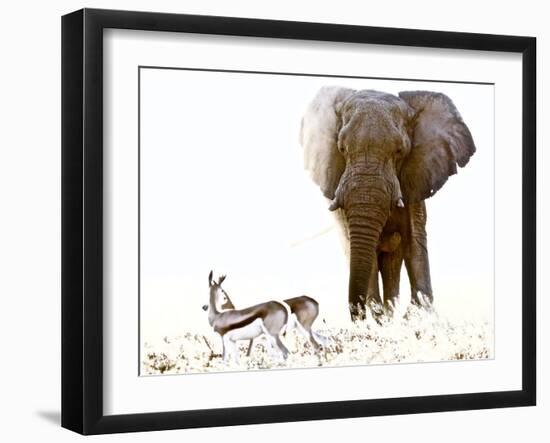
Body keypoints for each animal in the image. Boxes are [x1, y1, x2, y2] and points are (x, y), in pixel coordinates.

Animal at [300, 87, 476, 322]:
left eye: (400, 151)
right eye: (342, 149)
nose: (358, 316)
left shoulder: (415, 182)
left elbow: (414, 243)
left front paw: (417, 316)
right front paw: (379, 319)